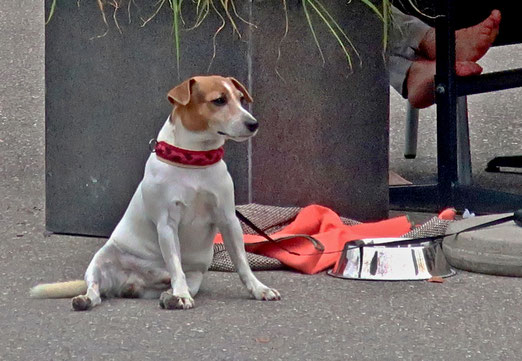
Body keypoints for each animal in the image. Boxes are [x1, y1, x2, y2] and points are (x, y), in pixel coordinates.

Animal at [30, 75, 278, 310]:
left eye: (241, 99)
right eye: (219, 100)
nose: (253, 123)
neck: (194, 161)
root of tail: (132, 283)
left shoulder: (228, 220)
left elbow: (242, 263)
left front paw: (259, 289)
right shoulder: (167, 224)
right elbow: (175, 264)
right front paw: (181, 296)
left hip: (195, 277)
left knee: (177, 283)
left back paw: (169, 296)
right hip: (101, 260)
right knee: (96, 290)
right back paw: (87, 299)